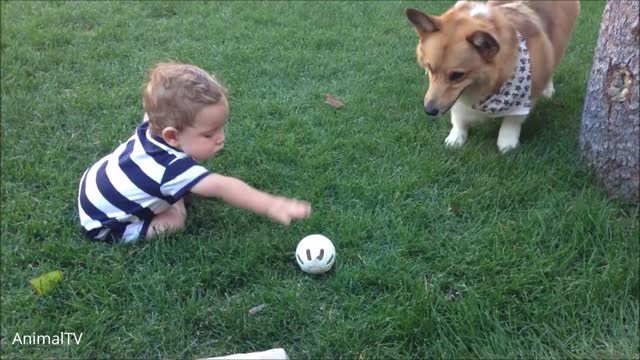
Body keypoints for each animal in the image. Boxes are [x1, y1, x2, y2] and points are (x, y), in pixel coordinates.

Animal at [404, 0, 580, 152]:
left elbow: (512, 122)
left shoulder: (526, 97)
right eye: (429, 68)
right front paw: (456, 137)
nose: (429, 111)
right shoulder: (458, 99)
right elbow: (459, 117)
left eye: (457, 75)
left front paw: (507, 143)